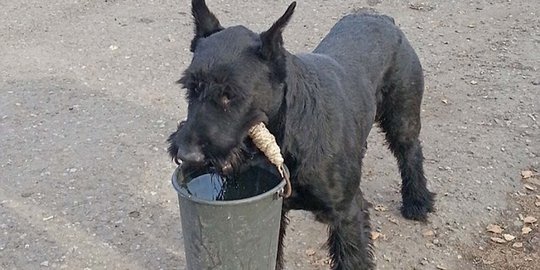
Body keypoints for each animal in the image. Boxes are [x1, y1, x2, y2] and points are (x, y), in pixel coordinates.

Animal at [169, 1, 434, 268]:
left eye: (230, 94)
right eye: (191, 87)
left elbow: (352, 259)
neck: (288, 137)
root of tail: (383, 19)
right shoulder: (275, 211)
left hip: (402, 119)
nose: (188, 154)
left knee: (411, 153)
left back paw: (417, 201)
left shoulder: (348, 213)